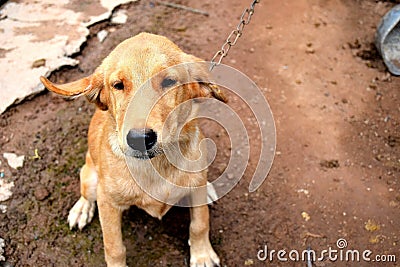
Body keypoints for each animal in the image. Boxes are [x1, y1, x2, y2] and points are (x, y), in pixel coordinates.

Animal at [40, 32, 225, 266]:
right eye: (118, 85)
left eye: (169, 81)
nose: (139, 139)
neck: (157, 165)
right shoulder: (107, 202)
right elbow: (114, 247)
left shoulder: (195, 189)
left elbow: (200, 223)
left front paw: (202, 255)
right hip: (90, 178)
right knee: (86, 192)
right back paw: (82, 209)